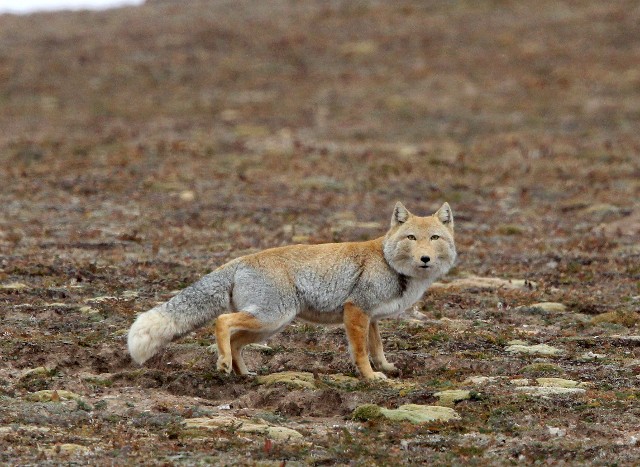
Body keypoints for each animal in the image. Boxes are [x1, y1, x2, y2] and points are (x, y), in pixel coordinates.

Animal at [128, 202, 456, 379]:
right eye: (411, 238)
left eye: (434, 238)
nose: (425, 259)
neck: (390, 263)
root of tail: (240, 259)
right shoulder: (356, 310)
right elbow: (362, 352)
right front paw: (371, 377)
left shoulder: (371, 317)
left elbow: (377, 347)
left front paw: (386, 368)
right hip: (272, 317)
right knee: (222, 322)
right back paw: (224, 364)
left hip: (269, 326)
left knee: (235, 341)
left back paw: (243, 373)